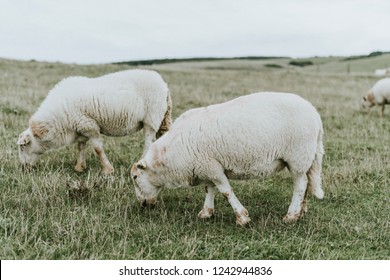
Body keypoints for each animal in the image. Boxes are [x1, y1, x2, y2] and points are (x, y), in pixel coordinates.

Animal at [16, 69, 172, 174]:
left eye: (22, 147)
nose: (23, 168)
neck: (57, 120)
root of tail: (164, 85)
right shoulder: (81, 127)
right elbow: (80, 147)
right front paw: (79, 167)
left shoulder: (89, 126)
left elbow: (97, 149)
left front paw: (108, 170)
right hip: (163, 118)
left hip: (151, 118)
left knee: (149, 142)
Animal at [130, 92, 322, 225]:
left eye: (135, 177)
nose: (142, 205)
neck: (169, 155)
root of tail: (315, 114)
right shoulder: (205, 165)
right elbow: (209, 189)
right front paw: (206, 212)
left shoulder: (212, 167)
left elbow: (225, 191)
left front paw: (242, 218)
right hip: (304, 158)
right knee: (306, 183)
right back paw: (301, 211)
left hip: (298, 156)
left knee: (300, 185)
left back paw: (291, 216)